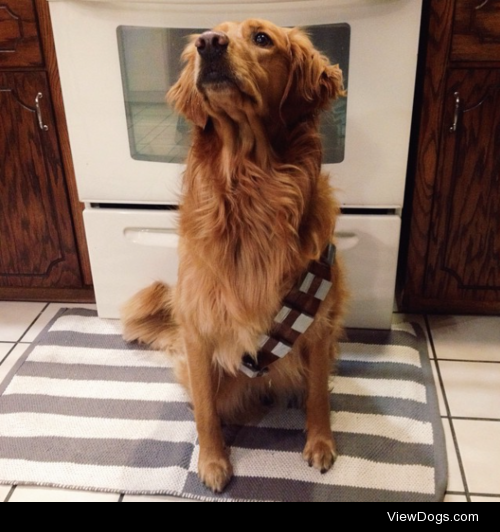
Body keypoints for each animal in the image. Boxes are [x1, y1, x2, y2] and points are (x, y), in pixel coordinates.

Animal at [123, 20, 346, 494]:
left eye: (262, 39)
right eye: (202, 40)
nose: (209, 44)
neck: (251, 187)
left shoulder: (320, 322)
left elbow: (319, 393)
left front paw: (320, 443)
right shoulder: (198, 328)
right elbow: (207, 412)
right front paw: (212, 461)